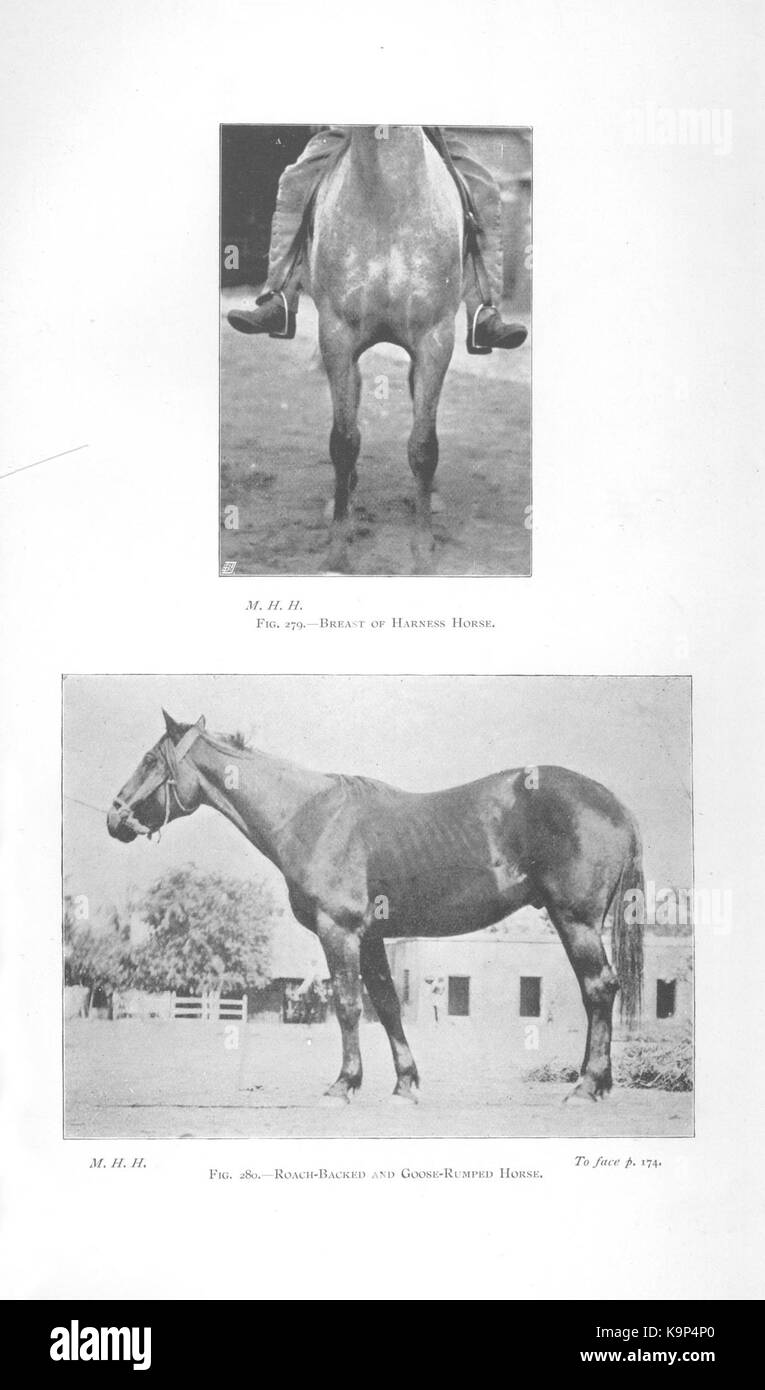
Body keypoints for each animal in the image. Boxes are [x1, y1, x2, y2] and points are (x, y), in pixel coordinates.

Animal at [107, 712, 645, 1105]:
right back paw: (597, 1083)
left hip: (575, 920)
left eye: (150, 759)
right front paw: (405, 1084)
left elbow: (347, 1005)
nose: (114, 817)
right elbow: (385, 1004)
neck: (309, 818)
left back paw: (586, 1087)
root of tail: (614, 803)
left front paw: (343, 1084)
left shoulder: (339, 930)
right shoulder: (371, 937)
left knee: (599, 989)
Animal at [307, 126, 464, 572]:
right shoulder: (336, 336)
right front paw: (339, 545)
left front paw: (423, 547)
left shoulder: (435, 340)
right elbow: (343, 442)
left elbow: (424, 446)